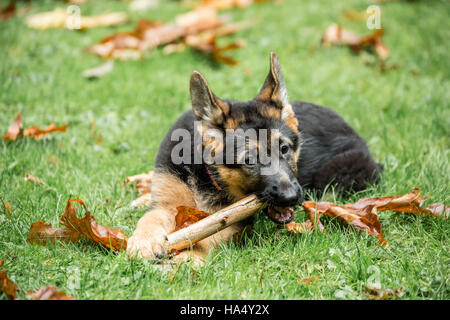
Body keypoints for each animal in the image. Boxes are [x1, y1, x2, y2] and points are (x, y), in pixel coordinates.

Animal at [128, 52, 382, 262]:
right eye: (249, 160)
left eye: (284, 149)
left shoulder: (231, 220)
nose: (291, 197)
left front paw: (184, 260)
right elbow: (149, 219)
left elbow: (205, 237)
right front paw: (143, 242)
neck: (208, 177)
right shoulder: (167, 203)